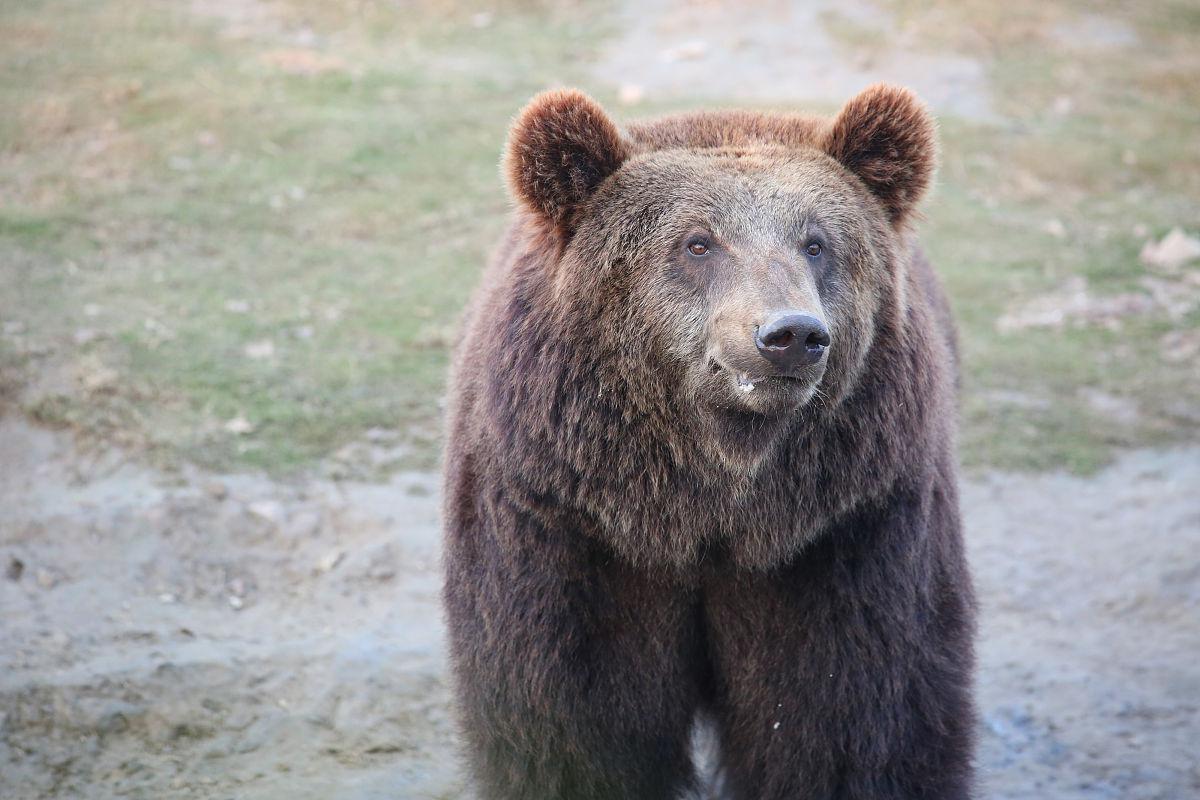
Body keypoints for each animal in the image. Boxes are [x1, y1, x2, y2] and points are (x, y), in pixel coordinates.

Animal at [441, 84, 974, 796]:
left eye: (816, 242)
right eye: (698, 243)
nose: (790, 334)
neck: (704, 509)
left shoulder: (843, 534)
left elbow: (856, 721)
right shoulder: (569, 531)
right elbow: (572, 729)